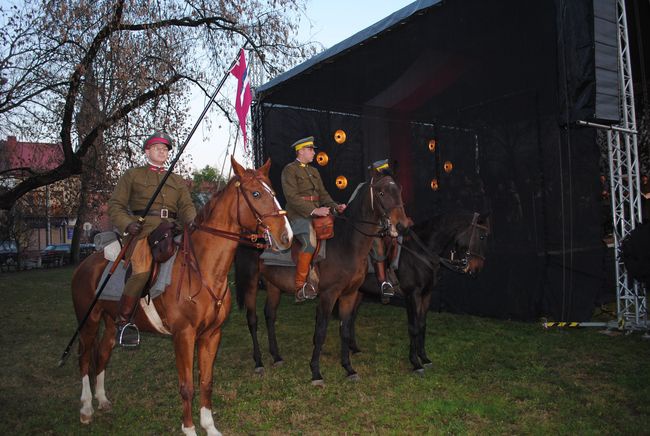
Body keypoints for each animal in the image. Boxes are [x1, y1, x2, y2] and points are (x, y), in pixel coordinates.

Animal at [69, 158, 290, 436]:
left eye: (273, 191)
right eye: (256, 193)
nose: (286, 237)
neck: (202, 268)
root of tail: (85, 263)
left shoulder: (211, 335)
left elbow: (206, 382)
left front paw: (210, 426)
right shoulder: (184, 336)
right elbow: (187, 387)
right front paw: (189, 429)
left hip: (110, 322)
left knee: (102, 354)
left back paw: (102, 400)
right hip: (88, 321)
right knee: (84, 357)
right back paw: (87, 408)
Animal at [234, 170, 410, 384]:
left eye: (399, 190)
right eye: (382, 193)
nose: (402, 225)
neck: (346, 243)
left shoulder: (349, 294)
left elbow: (345, 328)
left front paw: (348, 368)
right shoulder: (328, 295)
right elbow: (321, 331)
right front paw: (316, 372)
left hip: (273, 284)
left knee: (270, 315)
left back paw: (276, 356)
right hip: (251, 283)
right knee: (252, 319)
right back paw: (259, 362)